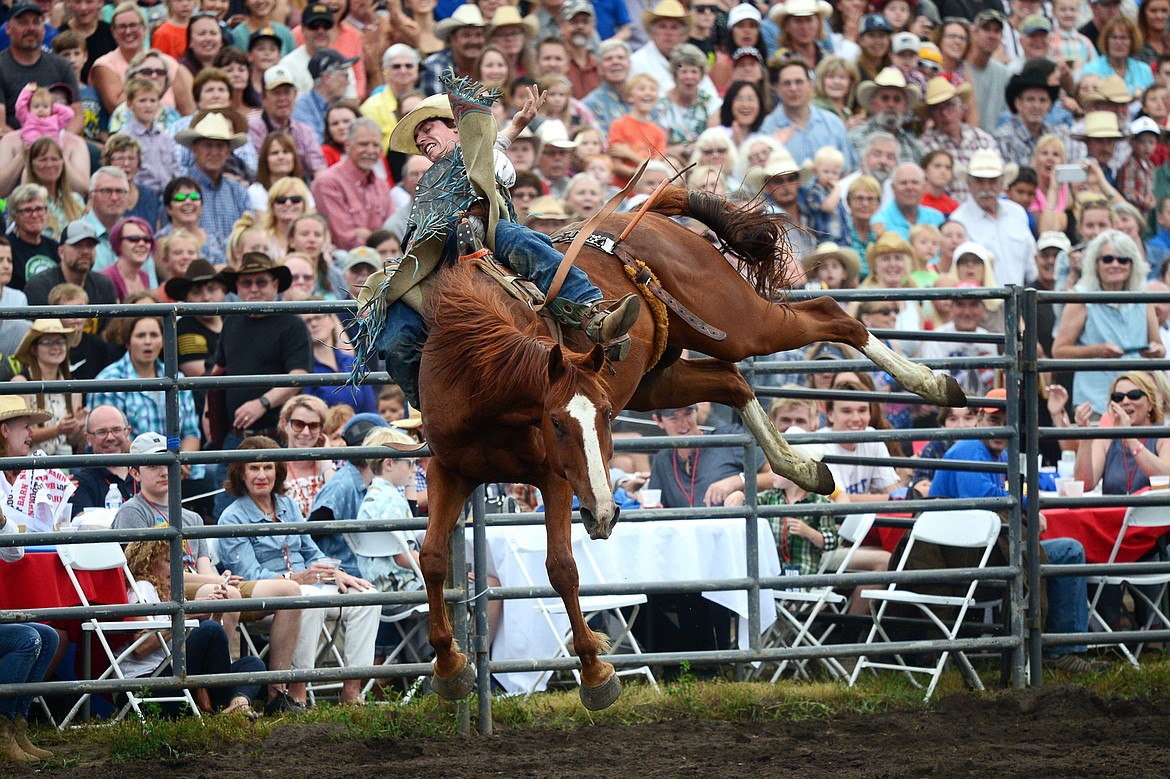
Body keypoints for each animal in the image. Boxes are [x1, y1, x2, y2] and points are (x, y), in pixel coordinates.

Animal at [416, 184, 964, 706]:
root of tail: (649, 217)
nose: (605, 514)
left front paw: (595, 672)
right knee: (732, 381)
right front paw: (448, 665)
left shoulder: (554, 478)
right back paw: (803, 467)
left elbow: (561, 568)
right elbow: (434, 559)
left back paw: (932, 383)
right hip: (658, 378)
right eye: (555, 420)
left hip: (737, 324)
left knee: (828, 314)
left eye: (607, 417)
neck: (480, 378)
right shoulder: (450, 471)